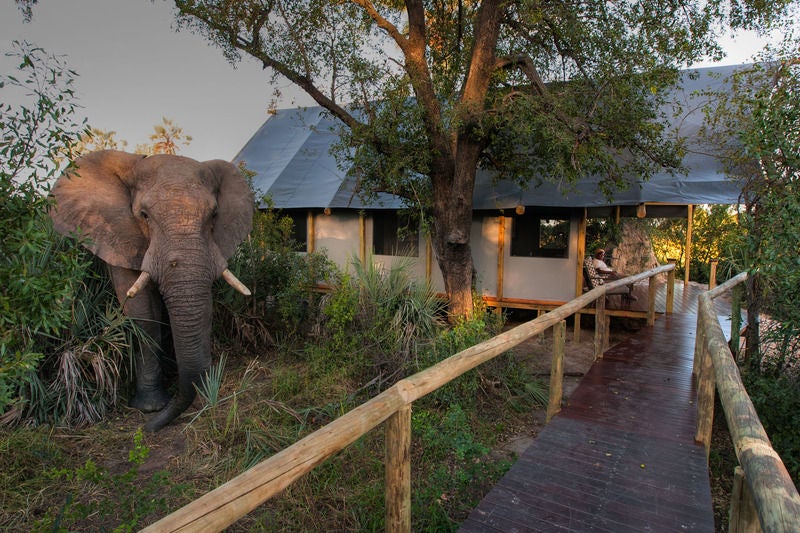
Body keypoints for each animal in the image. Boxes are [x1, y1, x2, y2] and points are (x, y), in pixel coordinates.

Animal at [49, 148, 253, 430]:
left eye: (214, 215)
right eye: (144, 215)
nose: (147, 429)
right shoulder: (118, 237)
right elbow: (142, 312)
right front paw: (150, 408)